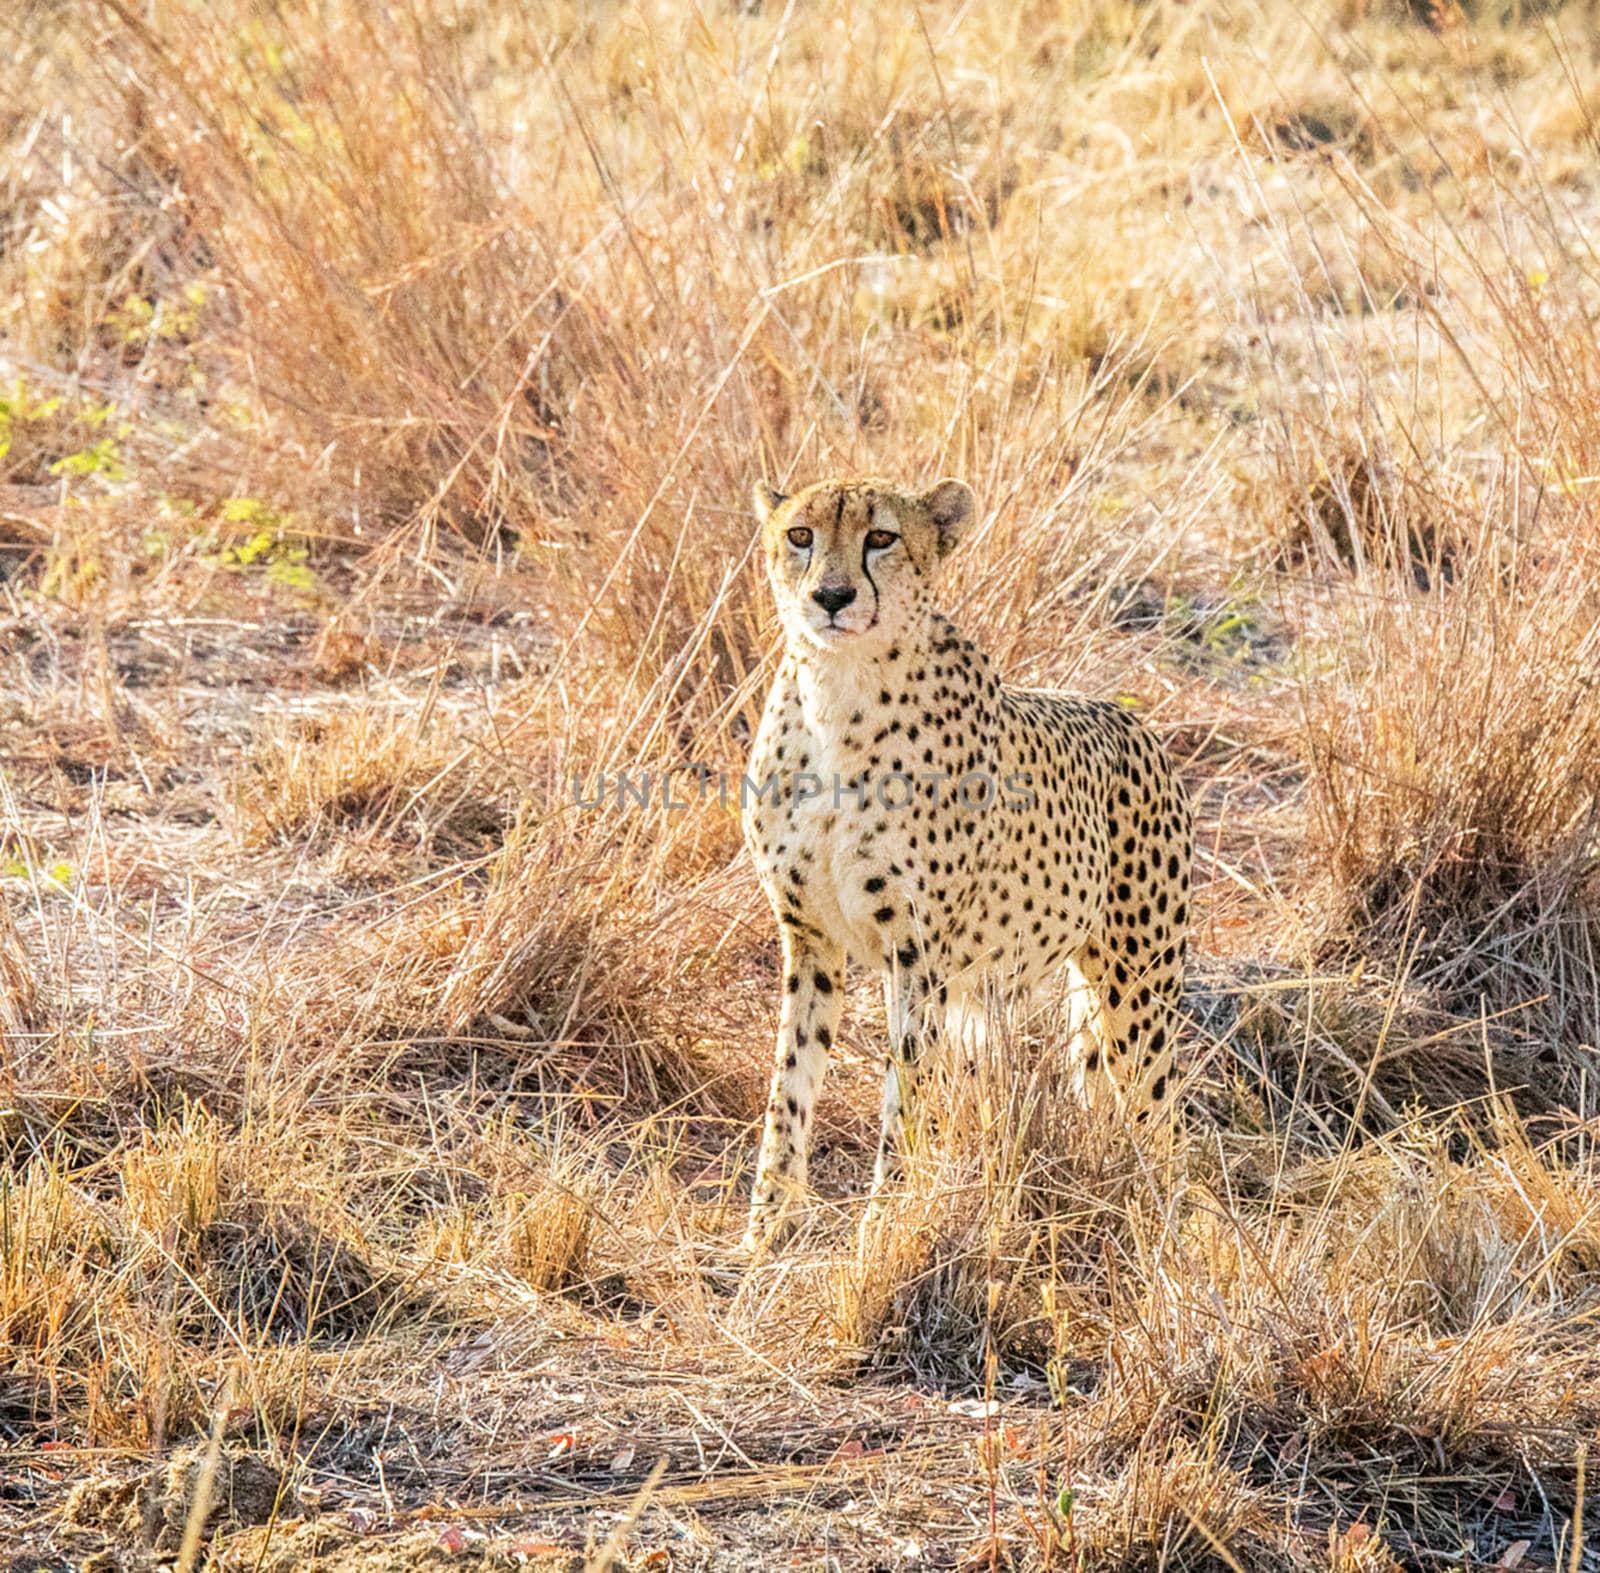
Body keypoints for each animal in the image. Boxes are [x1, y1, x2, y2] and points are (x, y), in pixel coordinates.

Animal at [739, 473, 1190, 1248]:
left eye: (881, 537)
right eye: (800, 535)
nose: (831, 597)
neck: (837, 690)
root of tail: (1133, 718)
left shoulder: (917, 954)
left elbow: (906, 1095)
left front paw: (881, 1230)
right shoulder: (811, 940)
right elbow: (789, 1084)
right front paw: (763, 1232)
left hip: (1138, 989)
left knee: (1158, 1117)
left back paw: (1168, 1228)